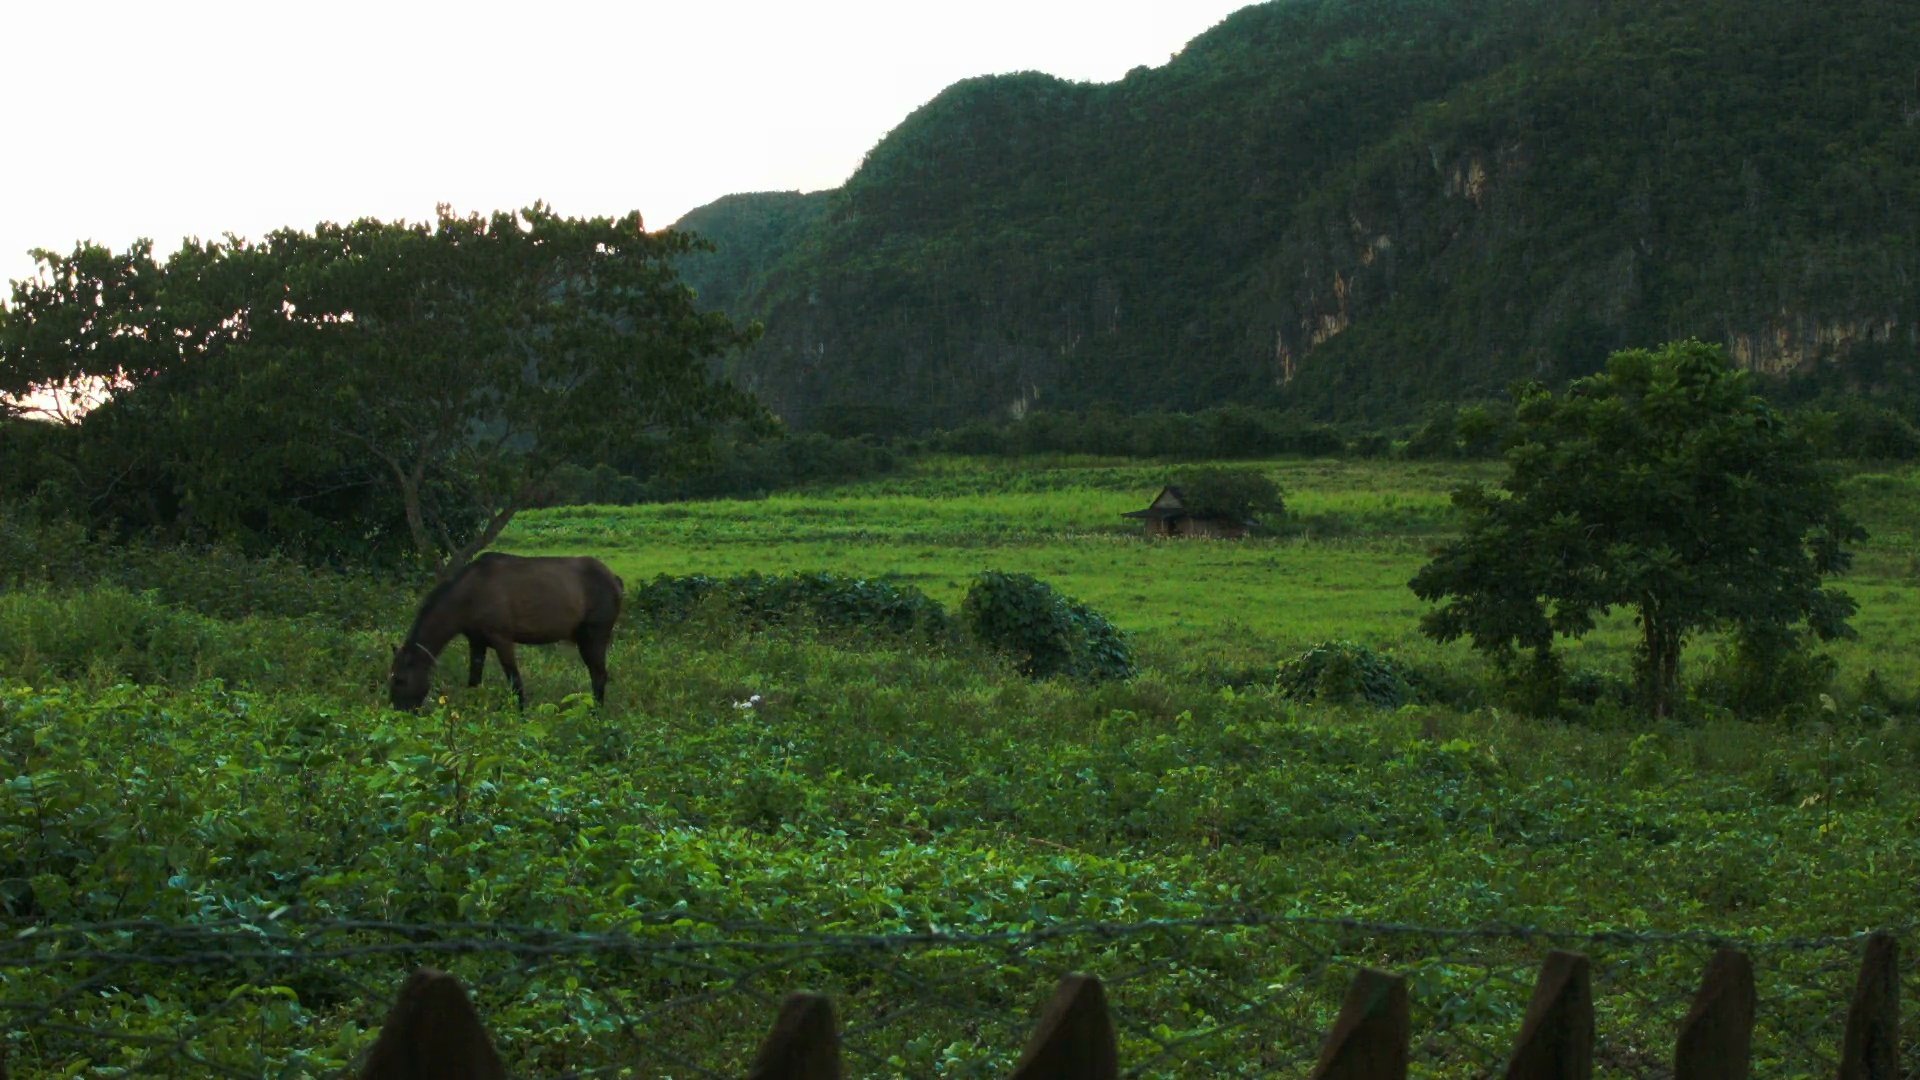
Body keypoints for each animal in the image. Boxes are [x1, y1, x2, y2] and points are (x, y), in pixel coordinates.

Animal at [387, 553, 622, 707]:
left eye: (400, 680)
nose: (400, 713)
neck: (469, 595)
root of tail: (615, 579)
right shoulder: (477, 642)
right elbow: (474, 682)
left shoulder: (502, 639)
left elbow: (515, 683)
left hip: (594, 636)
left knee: (599, 676)